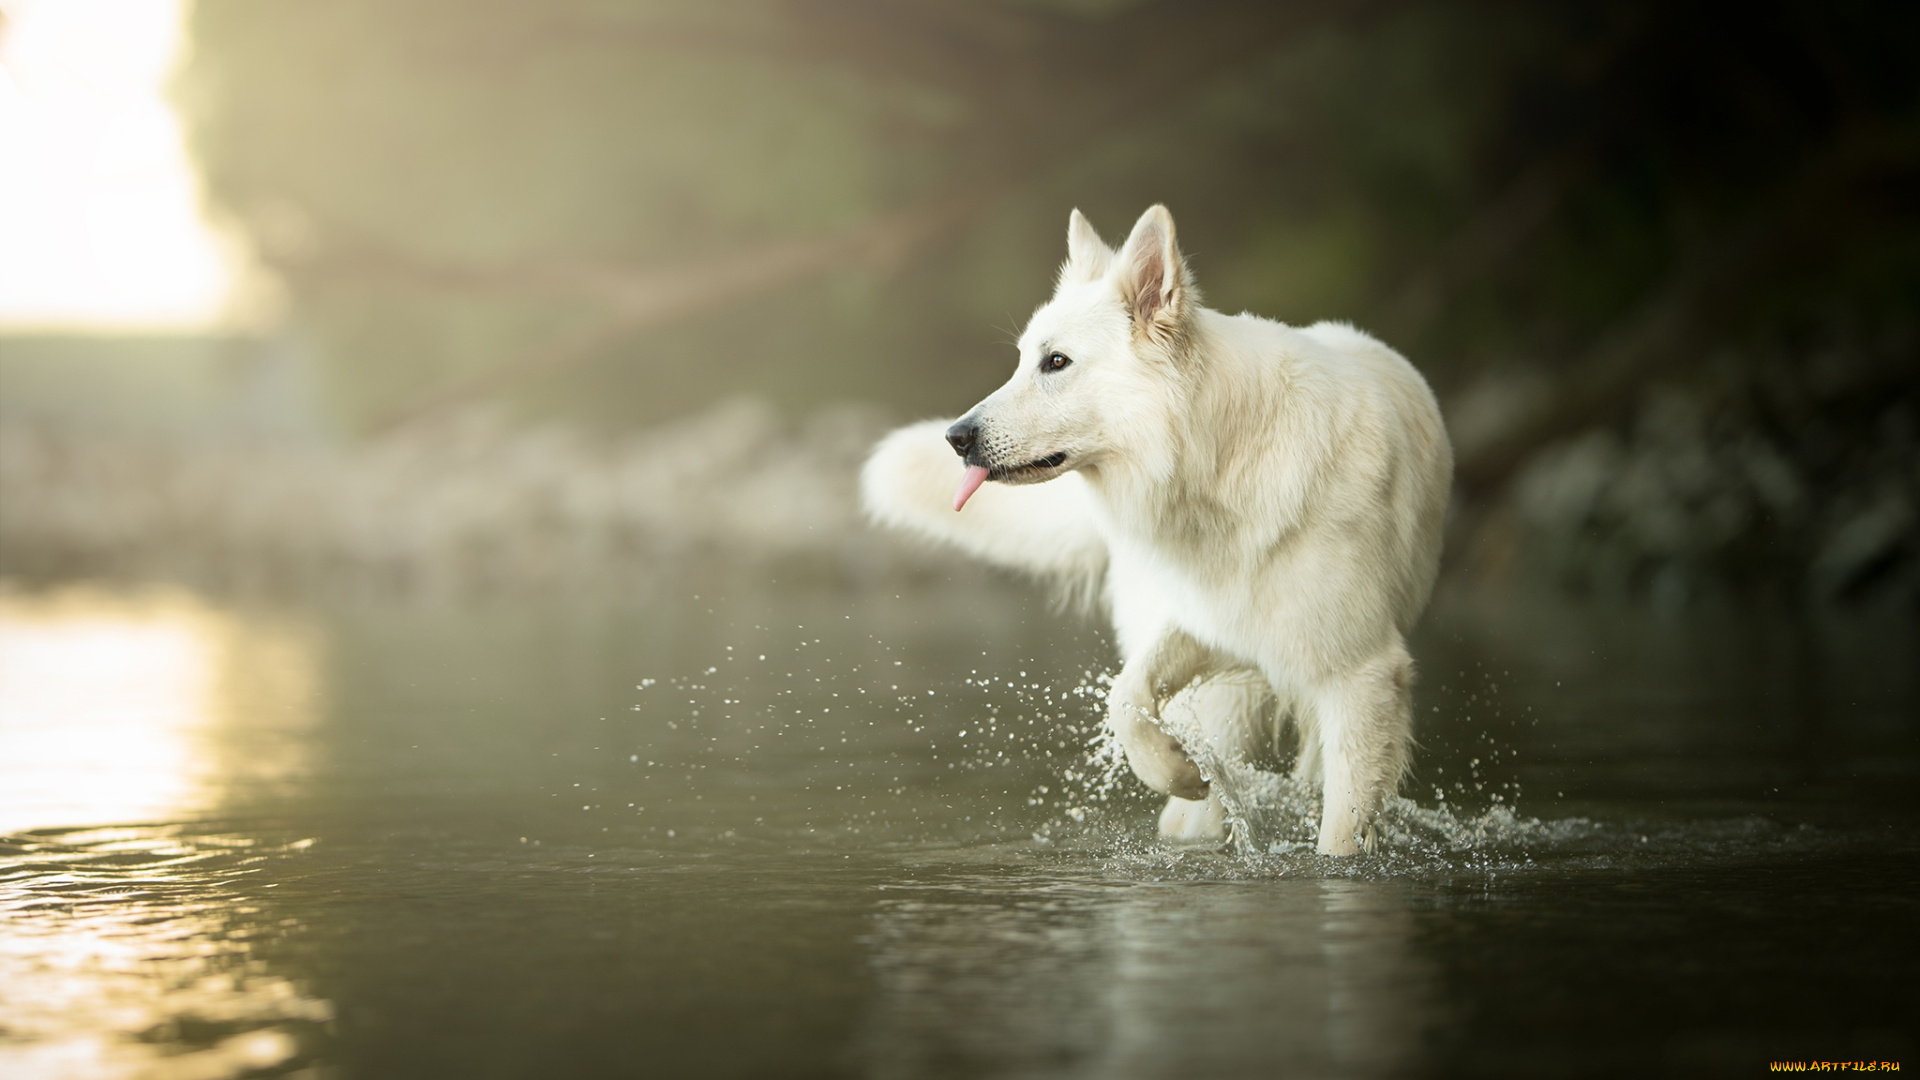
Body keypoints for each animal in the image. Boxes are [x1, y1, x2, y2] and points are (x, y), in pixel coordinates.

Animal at [864, 205, 1443, 853]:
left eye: (1056, 362)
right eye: (1021, 360)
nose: (956, 438)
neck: (1221, 467)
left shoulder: (1361, 679)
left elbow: (1341, 832)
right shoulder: (1209, 620)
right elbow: (1125, 695)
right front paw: (1178, 769)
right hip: (1224, 695)